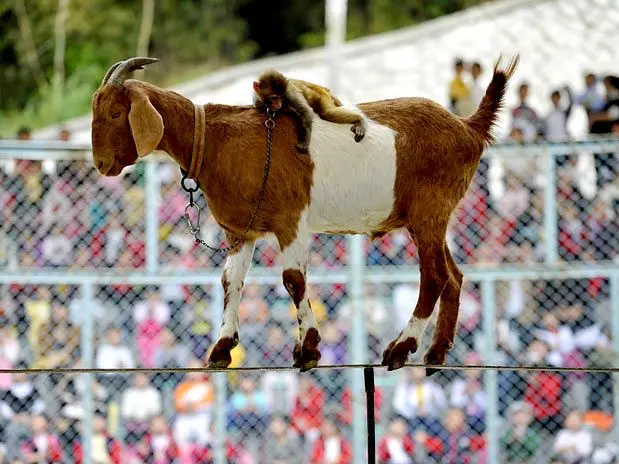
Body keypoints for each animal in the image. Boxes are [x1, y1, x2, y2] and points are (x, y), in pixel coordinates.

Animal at [91, 54, 520, 374]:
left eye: (114, 114)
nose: (100, 164)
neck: (217, 139)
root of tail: (468, 127)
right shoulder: (241, 231)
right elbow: (231, 281)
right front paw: (221, 349)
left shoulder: (291, 220)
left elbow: (293, 280)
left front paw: (309, 349)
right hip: (427, 217)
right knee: (454, 275)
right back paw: (436, 353)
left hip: (430, 210)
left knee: (434, 275)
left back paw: (401, 348)